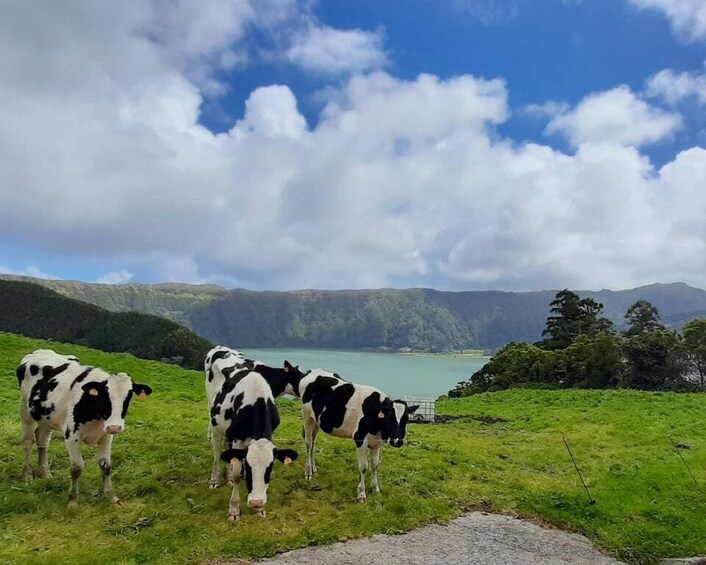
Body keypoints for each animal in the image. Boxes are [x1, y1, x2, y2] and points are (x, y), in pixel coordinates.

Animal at [18, 346, 153, 504]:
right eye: (104, 395)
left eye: (129, 395)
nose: (115, 427)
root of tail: (40, 351)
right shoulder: (72, 435)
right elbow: (77, 467)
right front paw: (72, 501)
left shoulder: (106, 435)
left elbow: (106, 465)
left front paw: (111, 497)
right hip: (25, 409)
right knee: (28, 441)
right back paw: (27, 475)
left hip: (46, 417)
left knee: (42, 440)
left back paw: (45, 474)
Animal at [209, 370, 296, 520]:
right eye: (249, 468)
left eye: (269, 468)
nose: (256, 502)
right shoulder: (237, 439)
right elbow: (237, 474)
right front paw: (234, 509)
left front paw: (260, 510)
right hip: (216, 427)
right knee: (217, 452)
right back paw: (215, 480)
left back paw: (228, 479)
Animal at [298, 370, 418, 502]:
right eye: (390, 417)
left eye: (406, 419)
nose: (397, 441)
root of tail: (314, 371)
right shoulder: (360, 438)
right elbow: (363, 467)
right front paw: (361, 494)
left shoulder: (377, 443)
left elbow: (375, 465)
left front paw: (375, 489)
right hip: (306, 416)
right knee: (308, 443)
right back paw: (308, 472)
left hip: (316, 420)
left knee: (313, 443)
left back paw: (314, 469)